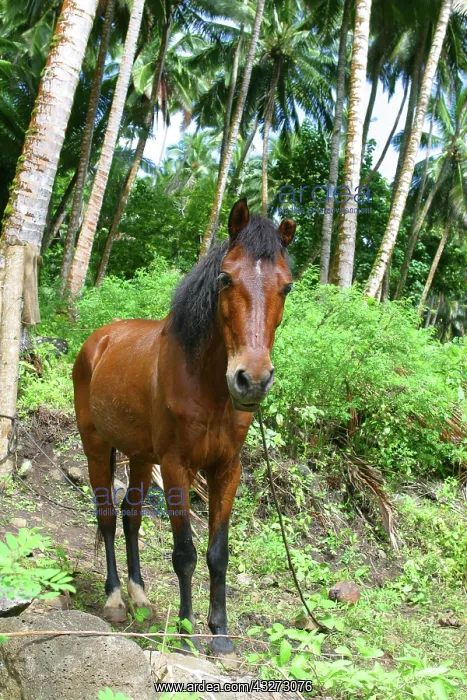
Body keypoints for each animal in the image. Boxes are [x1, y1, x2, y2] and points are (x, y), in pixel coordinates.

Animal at [72, 198, 295, 654]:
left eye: (286, 287)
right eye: (225, 278)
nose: (252, 380)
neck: (208, 387)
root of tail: (98, 340)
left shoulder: (227, 470)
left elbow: (217, 553)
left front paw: (221, 633)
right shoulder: (177, 468)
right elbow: (185, 553)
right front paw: (188, 632)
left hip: (140, 457)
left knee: (131, 516)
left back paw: (140, 598)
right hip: (96, 446)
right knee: (107, 516)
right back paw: (115, 599)